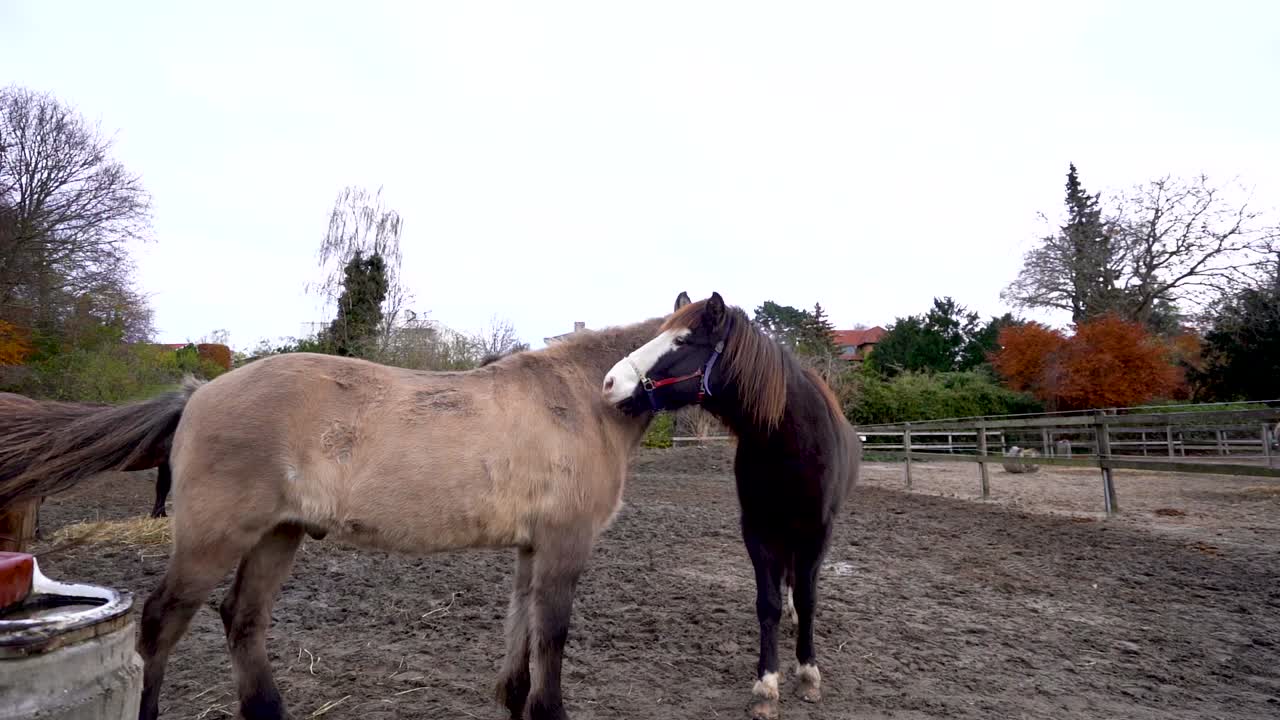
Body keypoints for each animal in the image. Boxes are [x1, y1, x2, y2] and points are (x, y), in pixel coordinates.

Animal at [602, 291, 860, 720]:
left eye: (682, 341)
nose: (609, 383)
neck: (786, 438)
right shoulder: (756, 529)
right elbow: (768, 604)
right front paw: (767, 685)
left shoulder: (816, 531)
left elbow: (808, 600)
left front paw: (808, 674)